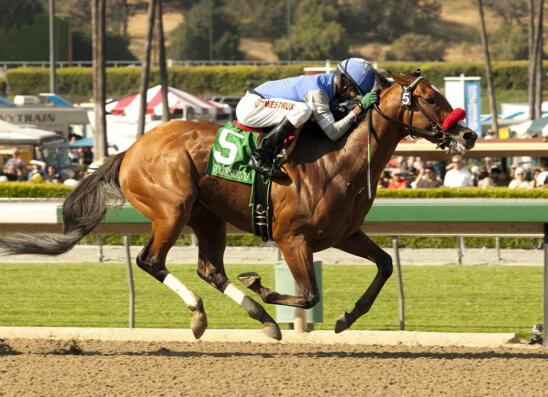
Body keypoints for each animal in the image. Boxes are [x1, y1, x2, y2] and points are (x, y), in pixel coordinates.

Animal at [0, 71, 476, 338]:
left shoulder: (344, 234)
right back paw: (202, 314)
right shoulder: (292, 238)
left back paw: (262, 319)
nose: (469, 134)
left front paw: (346, 317)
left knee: (210, 269)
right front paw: (260, 284)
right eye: (431, 99)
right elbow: (308, 294)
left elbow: (385, 265)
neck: (338, 159)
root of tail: (130, 149)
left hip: (207, 217)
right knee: (151, 261)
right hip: (172, 208)